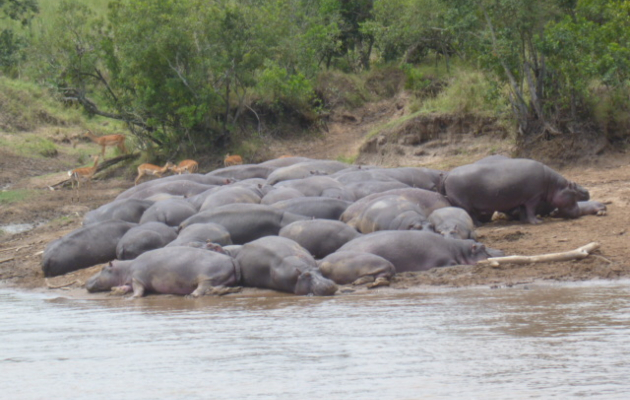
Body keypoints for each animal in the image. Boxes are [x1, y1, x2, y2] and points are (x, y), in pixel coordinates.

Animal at [442, 157, 592, 225]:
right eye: (574, 189)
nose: (587, 191)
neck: (554, 185)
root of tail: (448, 174)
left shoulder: (523, 199)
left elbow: (524, 211)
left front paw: (525, 221)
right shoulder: (534, 197)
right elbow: (531, 210)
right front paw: (537, 222)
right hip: (464, 203)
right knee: (470, 214)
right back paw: (479, 224)